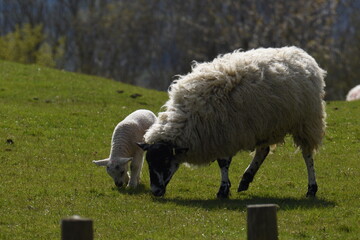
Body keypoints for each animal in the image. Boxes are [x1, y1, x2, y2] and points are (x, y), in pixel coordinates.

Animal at [138, 47, 326, 199]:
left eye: (164, 160)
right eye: (148, 162)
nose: (155, 191)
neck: (188, 119)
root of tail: (302, 54)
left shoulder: (225, 133)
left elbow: (223, 163)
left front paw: (223, 190)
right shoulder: (224, 135)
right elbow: (224, 163)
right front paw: (226, 187)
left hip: (306, 121)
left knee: (307, 155)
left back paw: (312, 188)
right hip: (265, 124)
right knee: (263, 151)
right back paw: (246, 179)